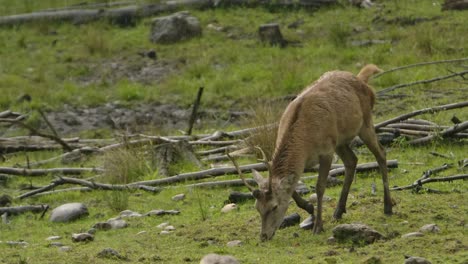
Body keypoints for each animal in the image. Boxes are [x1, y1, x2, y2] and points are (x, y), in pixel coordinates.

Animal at [232, 64, 394, 241]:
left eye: (274, 207)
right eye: (257, 207)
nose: (264, 236)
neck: (305, 144)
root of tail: (362, 80)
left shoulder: (326, 151)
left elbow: (319, 187)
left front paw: (318, 226)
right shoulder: (314, 155)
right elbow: (292, 187)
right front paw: (310, 209)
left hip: (365, 123)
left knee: (381, 153)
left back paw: (388, 207)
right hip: (340, 140)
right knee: (352, 160)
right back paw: (338, 211)